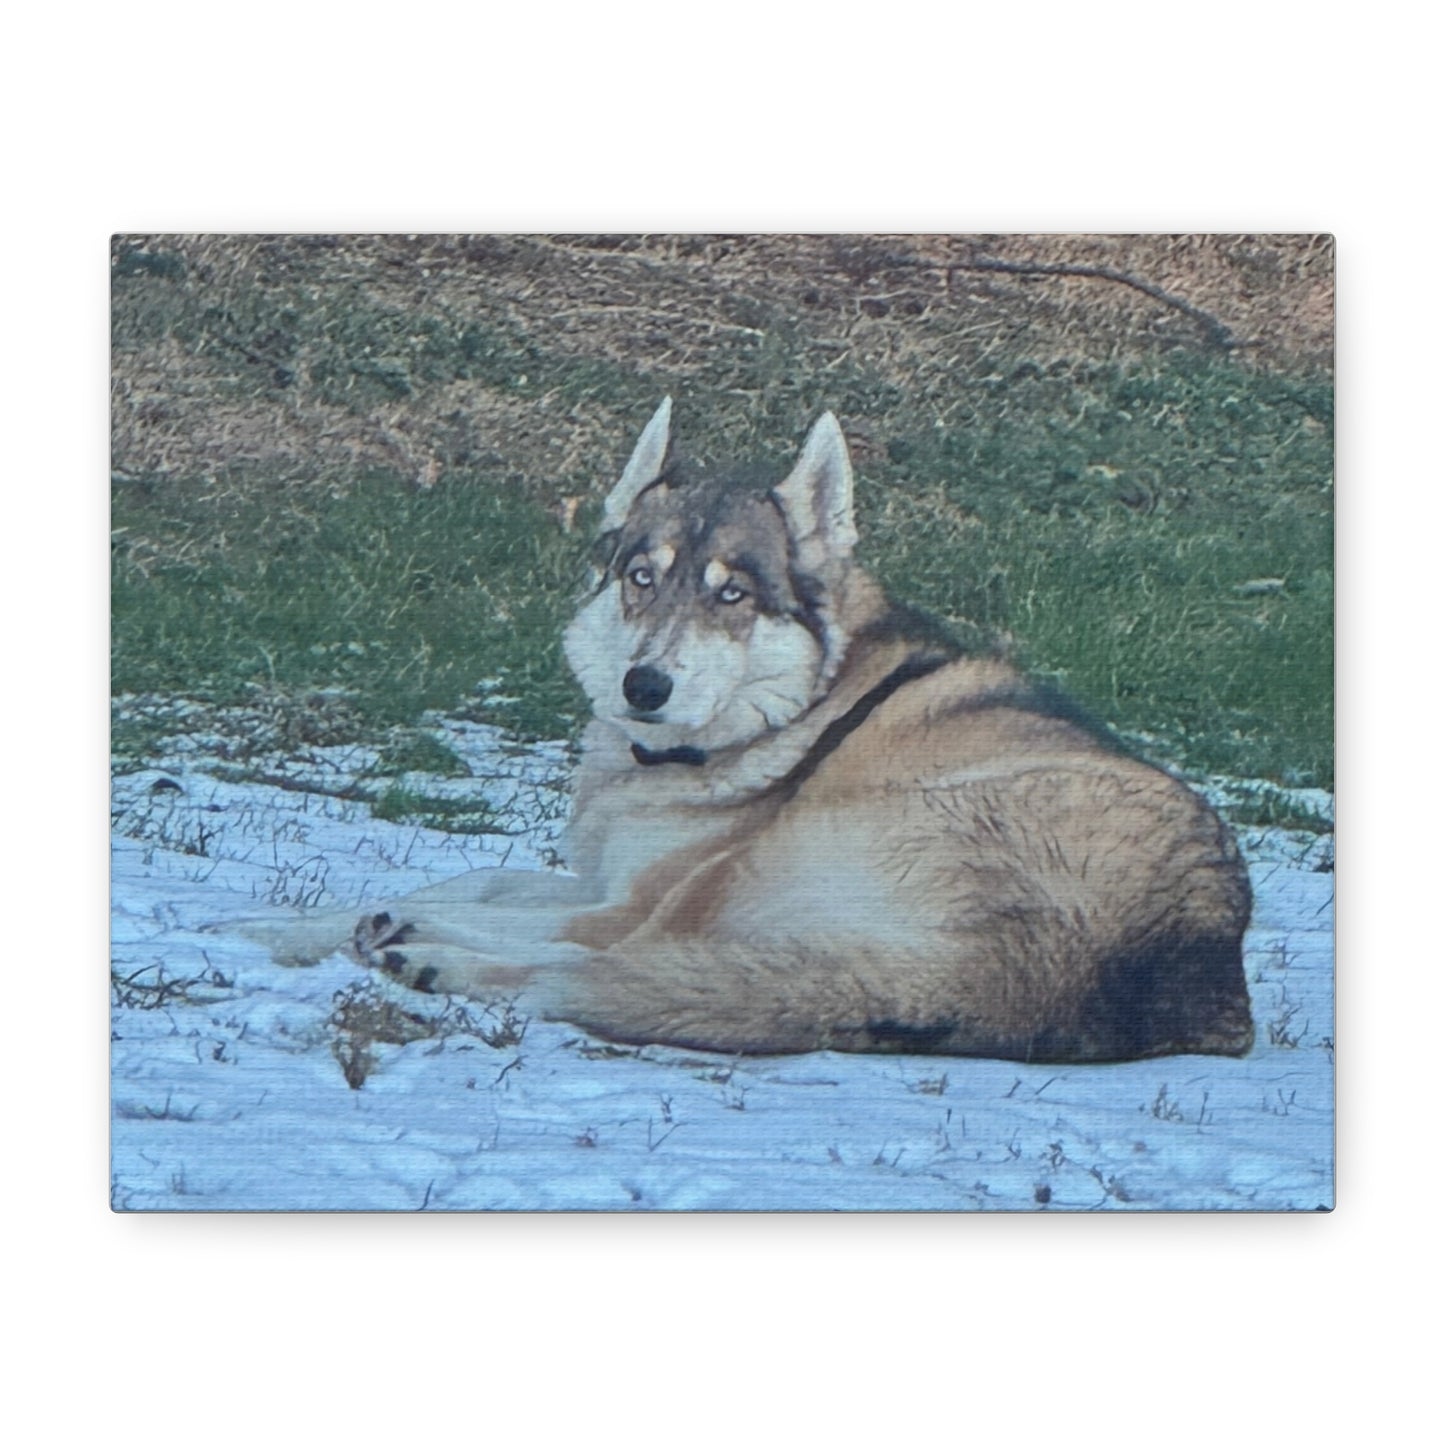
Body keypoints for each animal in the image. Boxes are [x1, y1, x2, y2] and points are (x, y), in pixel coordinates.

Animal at [254, 399, 1254, 1061]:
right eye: (642, 577)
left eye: (731, 594)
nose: (644, 684)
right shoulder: (607, 875)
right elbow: (473, 878)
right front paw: (273, 923)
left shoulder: (632, 896)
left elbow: (487, 905)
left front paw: (386, 925)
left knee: (604, 962)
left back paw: (428, 957)